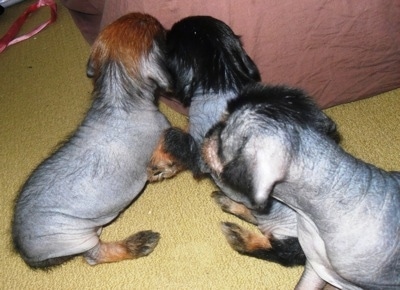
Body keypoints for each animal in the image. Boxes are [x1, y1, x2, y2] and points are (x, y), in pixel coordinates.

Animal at [11, 12, 171, 268]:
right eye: (152, 25)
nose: (150, 15)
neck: (116, 98)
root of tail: (23, 251)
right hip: (76, 237)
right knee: (94, 256)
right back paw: (138, 243)